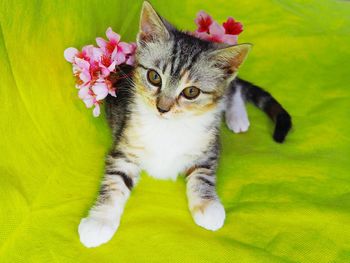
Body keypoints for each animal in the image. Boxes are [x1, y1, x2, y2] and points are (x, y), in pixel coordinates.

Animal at [78, 1, 292, 250]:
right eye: (154, 77)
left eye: (191, 92)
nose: (162, 108)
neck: (169, 128)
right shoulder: (124, 144)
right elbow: (114, 180)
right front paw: (99, 221)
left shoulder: (210, 147)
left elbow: (203, 174)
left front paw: (208, 207)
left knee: (233, 86)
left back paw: (237, 117)